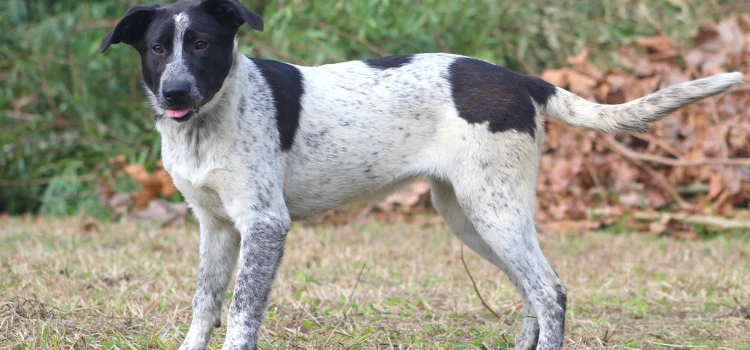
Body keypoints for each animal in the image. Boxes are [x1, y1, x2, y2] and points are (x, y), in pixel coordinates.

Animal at [101, 0, 748, 350]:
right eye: (158, 49)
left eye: (202, 44)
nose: (174, 92)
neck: (211, 117)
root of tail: (522, 80)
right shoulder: (214, 226)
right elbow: (205, 301)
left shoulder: (265, 224)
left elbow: (239, 310)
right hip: (471, 219)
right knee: (533, 293)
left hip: (494, 210)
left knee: (551, 290)